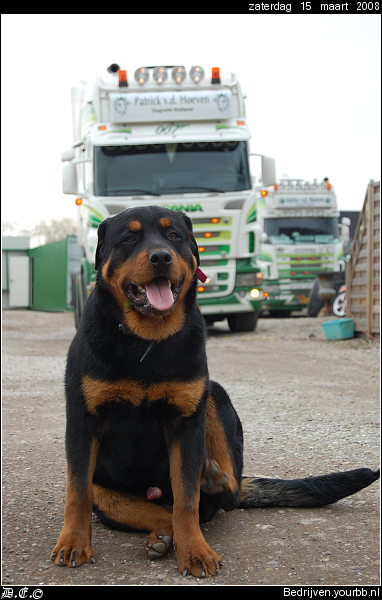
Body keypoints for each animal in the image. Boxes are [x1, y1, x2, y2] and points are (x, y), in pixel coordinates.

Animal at [50, 205, 380, 576]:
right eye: (129, 238)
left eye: (174, 235)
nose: (161, 256)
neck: (146, 342)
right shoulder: (83, 420)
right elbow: (77, 492)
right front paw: (74, 542)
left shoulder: (187, 420)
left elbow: (187, 499)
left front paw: (195, 551)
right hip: (106, 491)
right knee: (150, 509)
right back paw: (161, 536)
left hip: (213, 395)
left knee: (219, 499)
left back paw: (215, 484)